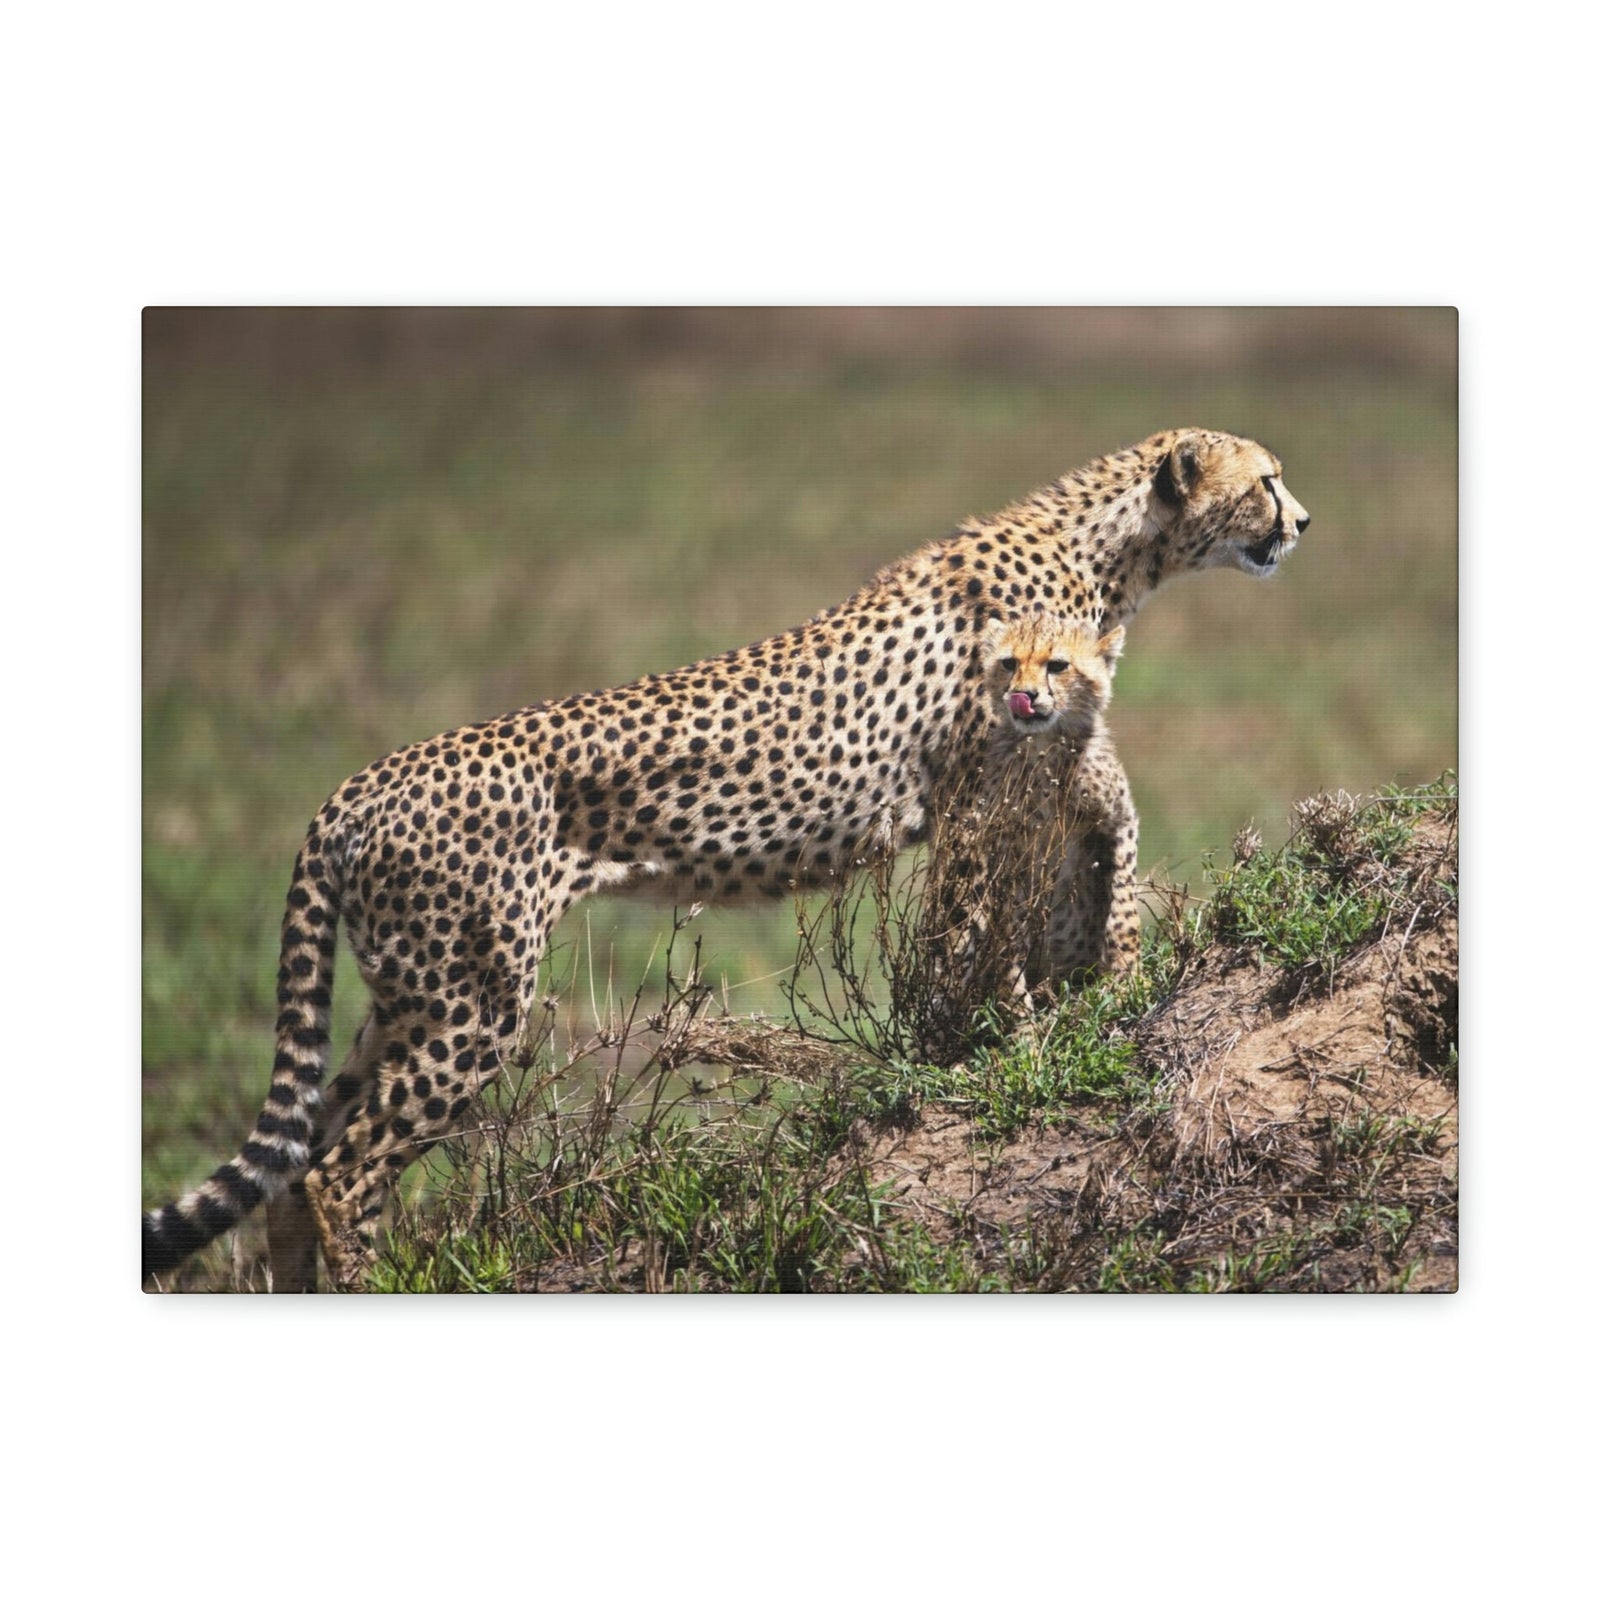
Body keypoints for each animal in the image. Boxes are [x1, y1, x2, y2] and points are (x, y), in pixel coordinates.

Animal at [142, 426, 1309, 1289]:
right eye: (1267, 479)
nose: (1301, 521)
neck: (1110, 549)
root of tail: (351, 786)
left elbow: (1081, 876)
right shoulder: (980, 804)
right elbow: (978, 940)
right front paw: (995, 1059)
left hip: (410, 994)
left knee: (300, 1164)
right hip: (471, 1001)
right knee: (340, 1171)